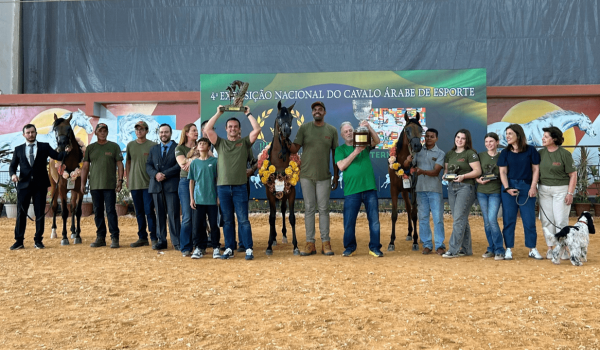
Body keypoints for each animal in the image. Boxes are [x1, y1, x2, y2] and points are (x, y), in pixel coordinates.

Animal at [49, 113, 84, 245]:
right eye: (55, 129)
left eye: (69, 128)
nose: (62, 144)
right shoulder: (62, 188)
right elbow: (64, 212)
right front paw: (64, 238)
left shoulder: (80, 189)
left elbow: (77, 211)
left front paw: (77, 235)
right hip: (54, 186)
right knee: (54, 207)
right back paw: (54, 231)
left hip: (73, 190)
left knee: (73, 207)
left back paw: (73, 231)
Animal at [386, 112, 424, 252]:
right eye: (407, 130)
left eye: (421, 130)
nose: (417, 146)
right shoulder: (394, 190)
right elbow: (394, 215)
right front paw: (391, 242)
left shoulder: (413, 190)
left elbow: (414, 214)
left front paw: (415, 241)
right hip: (404, 192)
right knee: (407, 208)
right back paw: (409, 233)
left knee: (413, 210)